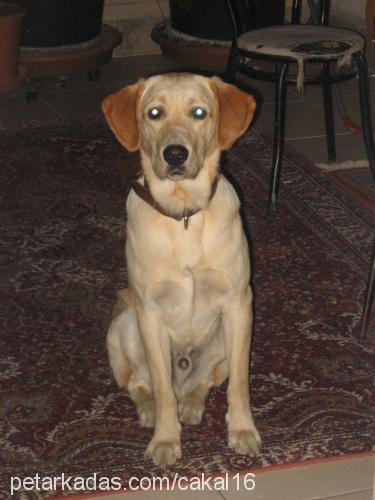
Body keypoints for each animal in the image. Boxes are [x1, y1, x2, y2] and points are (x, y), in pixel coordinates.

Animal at [103, 72, 262, 466]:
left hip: (224, 336)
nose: (175, 154)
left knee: (204, 381)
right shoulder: (149, 311)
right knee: (139, 383)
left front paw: (242, 431)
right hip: (124, 323)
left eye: (199, 112)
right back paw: (150, 410)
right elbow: (161, 386)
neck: (184, 213)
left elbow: (239, 382)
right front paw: (165, 439)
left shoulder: (239, 302)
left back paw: (190, 405)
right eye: (154, 113)